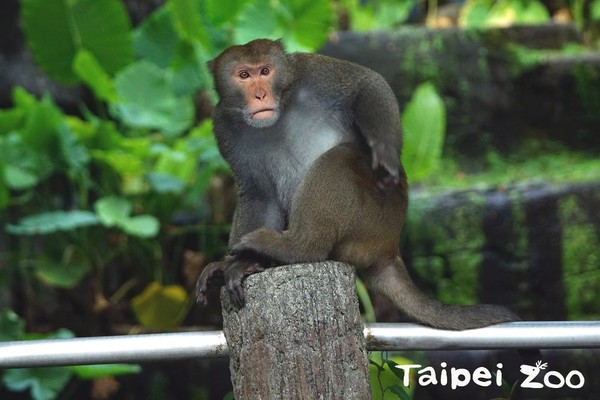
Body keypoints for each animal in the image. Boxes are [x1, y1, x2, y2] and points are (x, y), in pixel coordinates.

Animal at [196, 39, 516, 330]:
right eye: (244, 75)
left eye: (265, 70)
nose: (261, 95)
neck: (282, 108)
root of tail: (388, 246)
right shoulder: (223, 125)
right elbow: (257, 193)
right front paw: (241, 263)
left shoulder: (312, 73)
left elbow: (367, 83)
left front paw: (385, 150)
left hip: (372, 221)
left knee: (340, 158)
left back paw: (298, 247)